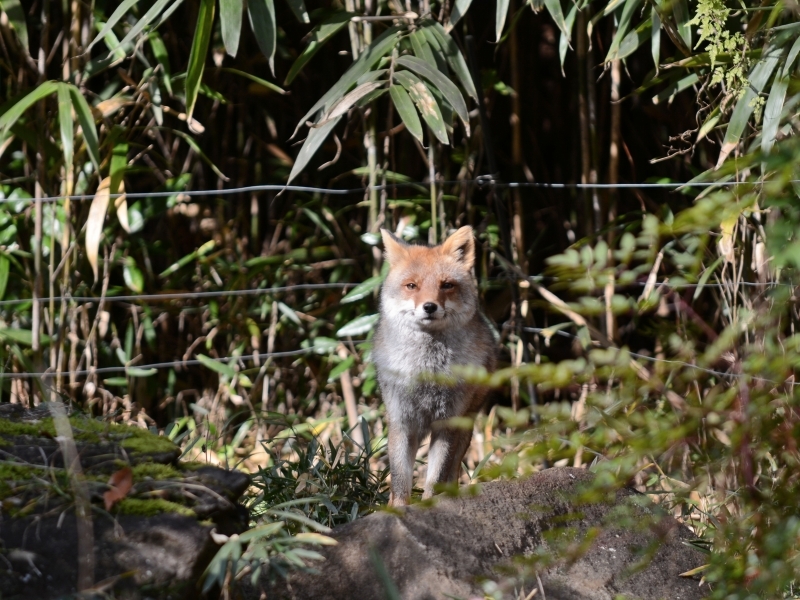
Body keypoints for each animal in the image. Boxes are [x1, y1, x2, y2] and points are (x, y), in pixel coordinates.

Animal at [370, 225, 494, 506]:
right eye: (411, 286)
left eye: (446, 285)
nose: (429, 307)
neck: (427, 373)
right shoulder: (401, 421)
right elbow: (400, 481)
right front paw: (398, 511)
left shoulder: (447, 424)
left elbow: (435, 479)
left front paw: (429, 506)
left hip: (465, 427)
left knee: (453, 471)